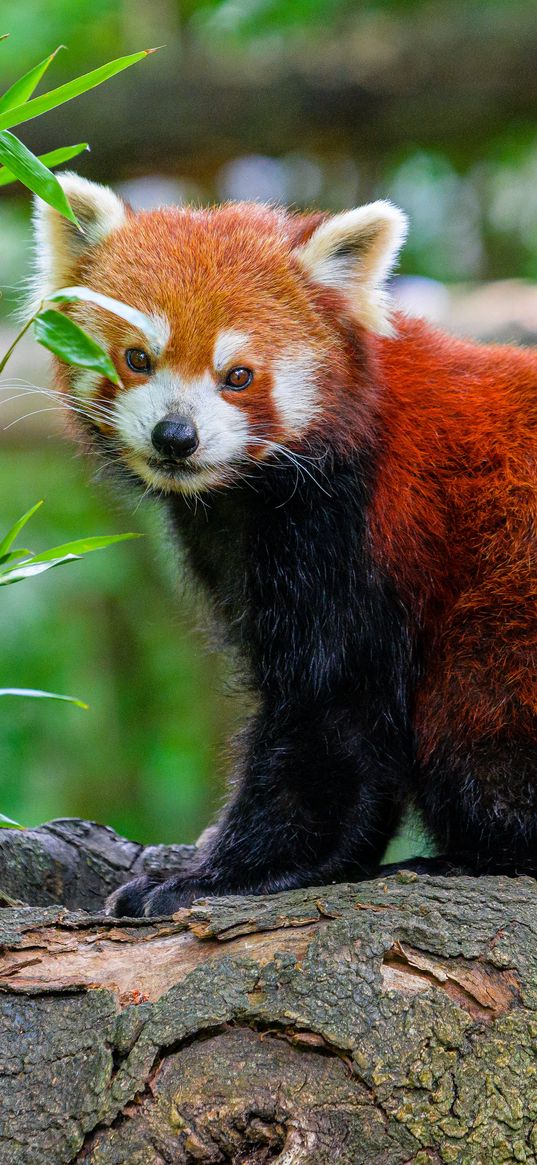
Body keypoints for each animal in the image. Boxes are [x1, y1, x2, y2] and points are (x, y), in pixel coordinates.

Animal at [32, 174, 535, 918]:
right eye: (137, 359)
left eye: (238, 375)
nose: (175, 436)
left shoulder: (360, 536)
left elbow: (328, 715)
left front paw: (216, 875)